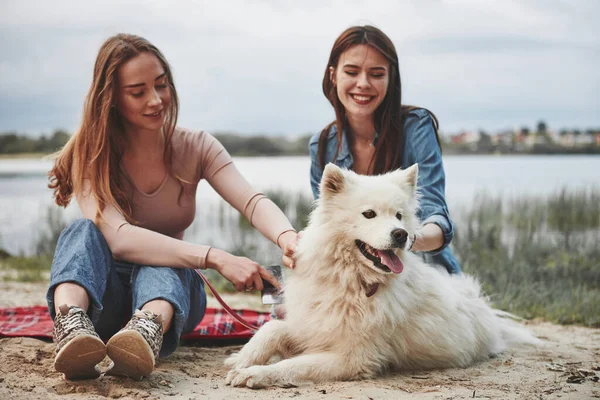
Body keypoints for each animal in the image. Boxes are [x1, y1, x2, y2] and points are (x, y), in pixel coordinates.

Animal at [224, 162, 540, 388]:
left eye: (399, 216)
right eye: (369, 214)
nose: (401, 235)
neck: (352, 282)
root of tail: (482, 303)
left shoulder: (353, 357)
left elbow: (294, 365)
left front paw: (255, 374)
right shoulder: (313, 323)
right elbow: (271, 329)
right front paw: (240, 358)